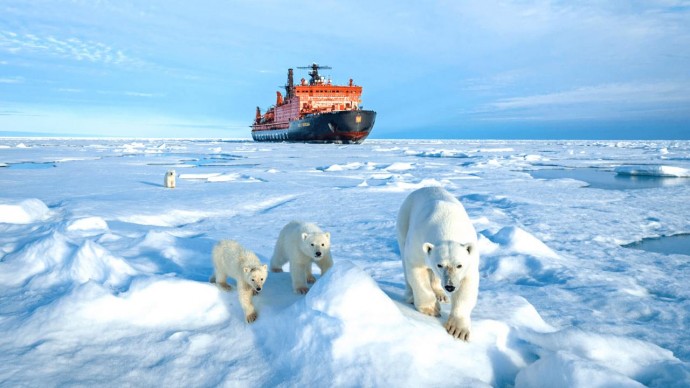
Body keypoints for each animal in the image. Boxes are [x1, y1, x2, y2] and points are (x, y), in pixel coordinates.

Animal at [396, 186, 476, 342]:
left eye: (459, 265)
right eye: (440, 265)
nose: (450, 286)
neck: (447, 227)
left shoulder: (470, 258)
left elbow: (467, 284)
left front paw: (458, 330)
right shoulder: (418, 241)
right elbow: (416, 269)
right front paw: (431, 309)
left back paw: (441, 294)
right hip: (404, 221)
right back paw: (410, 296)